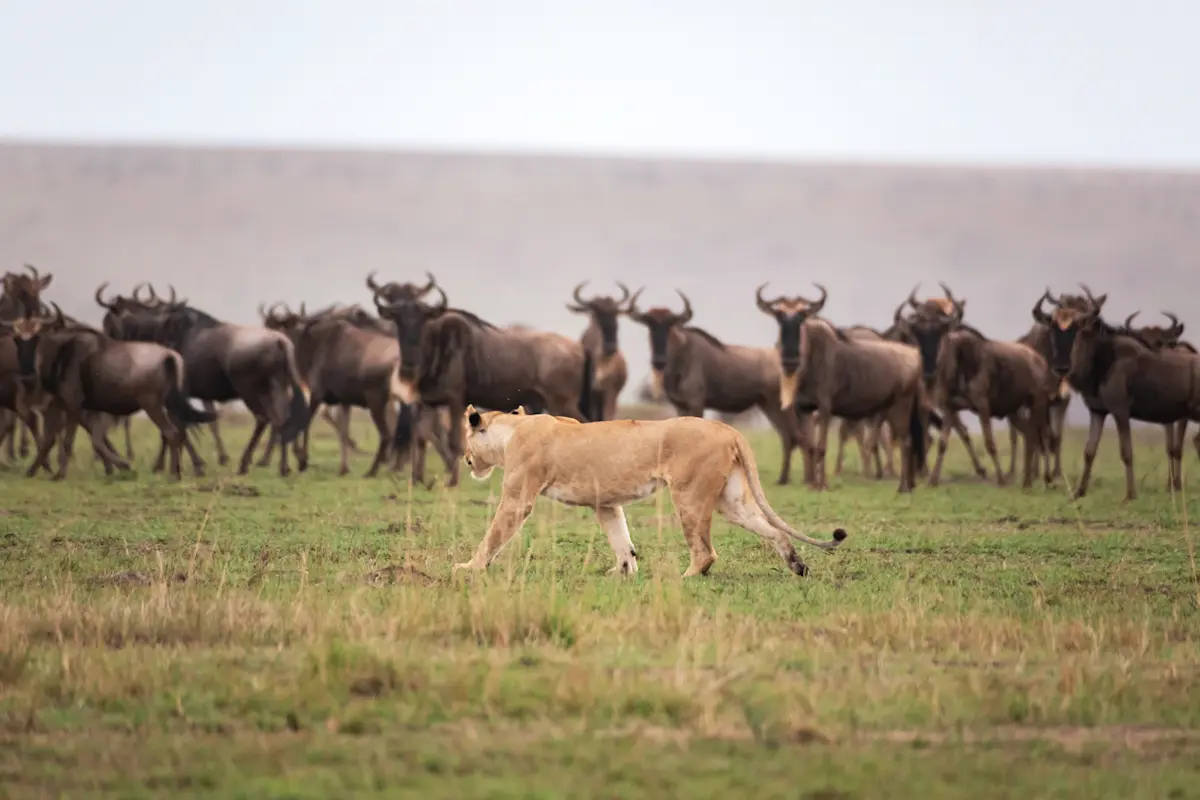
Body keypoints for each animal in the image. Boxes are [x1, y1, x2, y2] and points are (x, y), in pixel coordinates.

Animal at [456, 405, 847, 578]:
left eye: (465, 437)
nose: (465, 459)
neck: (511, 429)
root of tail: (728, 429)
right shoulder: (606, 503)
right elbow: (621, 539)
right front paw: (623, 572)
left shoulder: (519, 496)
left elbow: (494, 534)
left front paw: (469, 567)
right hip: (732, 501)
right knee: (775, 531)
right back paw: (797, 566)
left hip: (688, 494)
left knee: (705, 551)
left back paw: (687, 577)